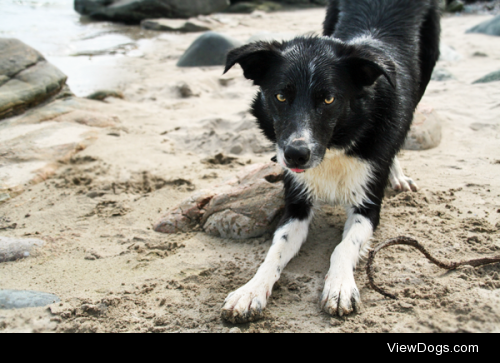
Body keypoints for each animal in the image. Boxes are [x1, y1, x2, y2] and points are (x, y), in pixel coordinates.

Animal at [221, 0, 440, 324]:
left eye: (328, 100)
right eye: (280, 96)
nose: (295, 154)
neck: (334, 148)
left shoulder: (368, 205)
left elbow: (344, 247)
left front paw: (339, 287)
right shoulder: (296, 201)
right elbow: (276, 248)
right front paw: (250, 291)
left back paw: (397, 174)